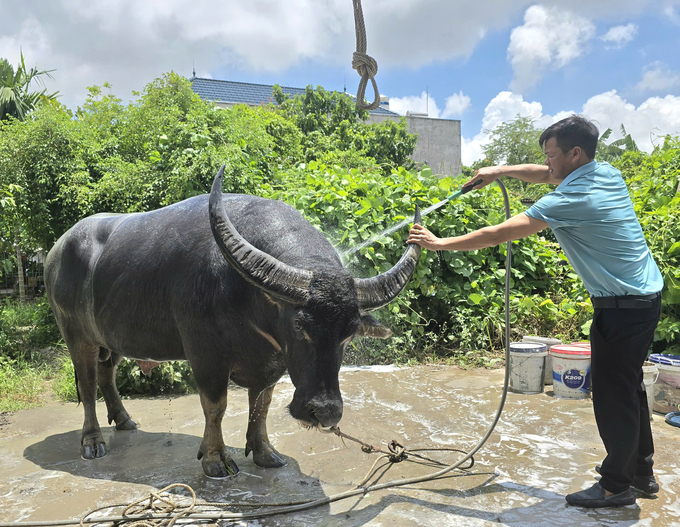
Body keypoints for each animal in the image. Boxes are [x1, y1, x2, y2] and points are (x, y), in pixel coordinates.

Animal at [45, 166, 420, 478]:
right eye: (300, 326)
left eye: (349, 334)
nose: (325, 412)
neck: (245, 293)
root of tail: (55, 251)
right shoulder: (205, 355)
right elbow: (216, 406)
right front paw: (215, 460)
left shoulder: (272, 362)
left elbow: (261, 405)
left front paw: (265, 452)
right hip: (76, 336)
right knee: (88, 384)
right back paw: (93, 442)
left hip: (111, 338)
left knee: (107, 375)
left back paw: (124, 421)